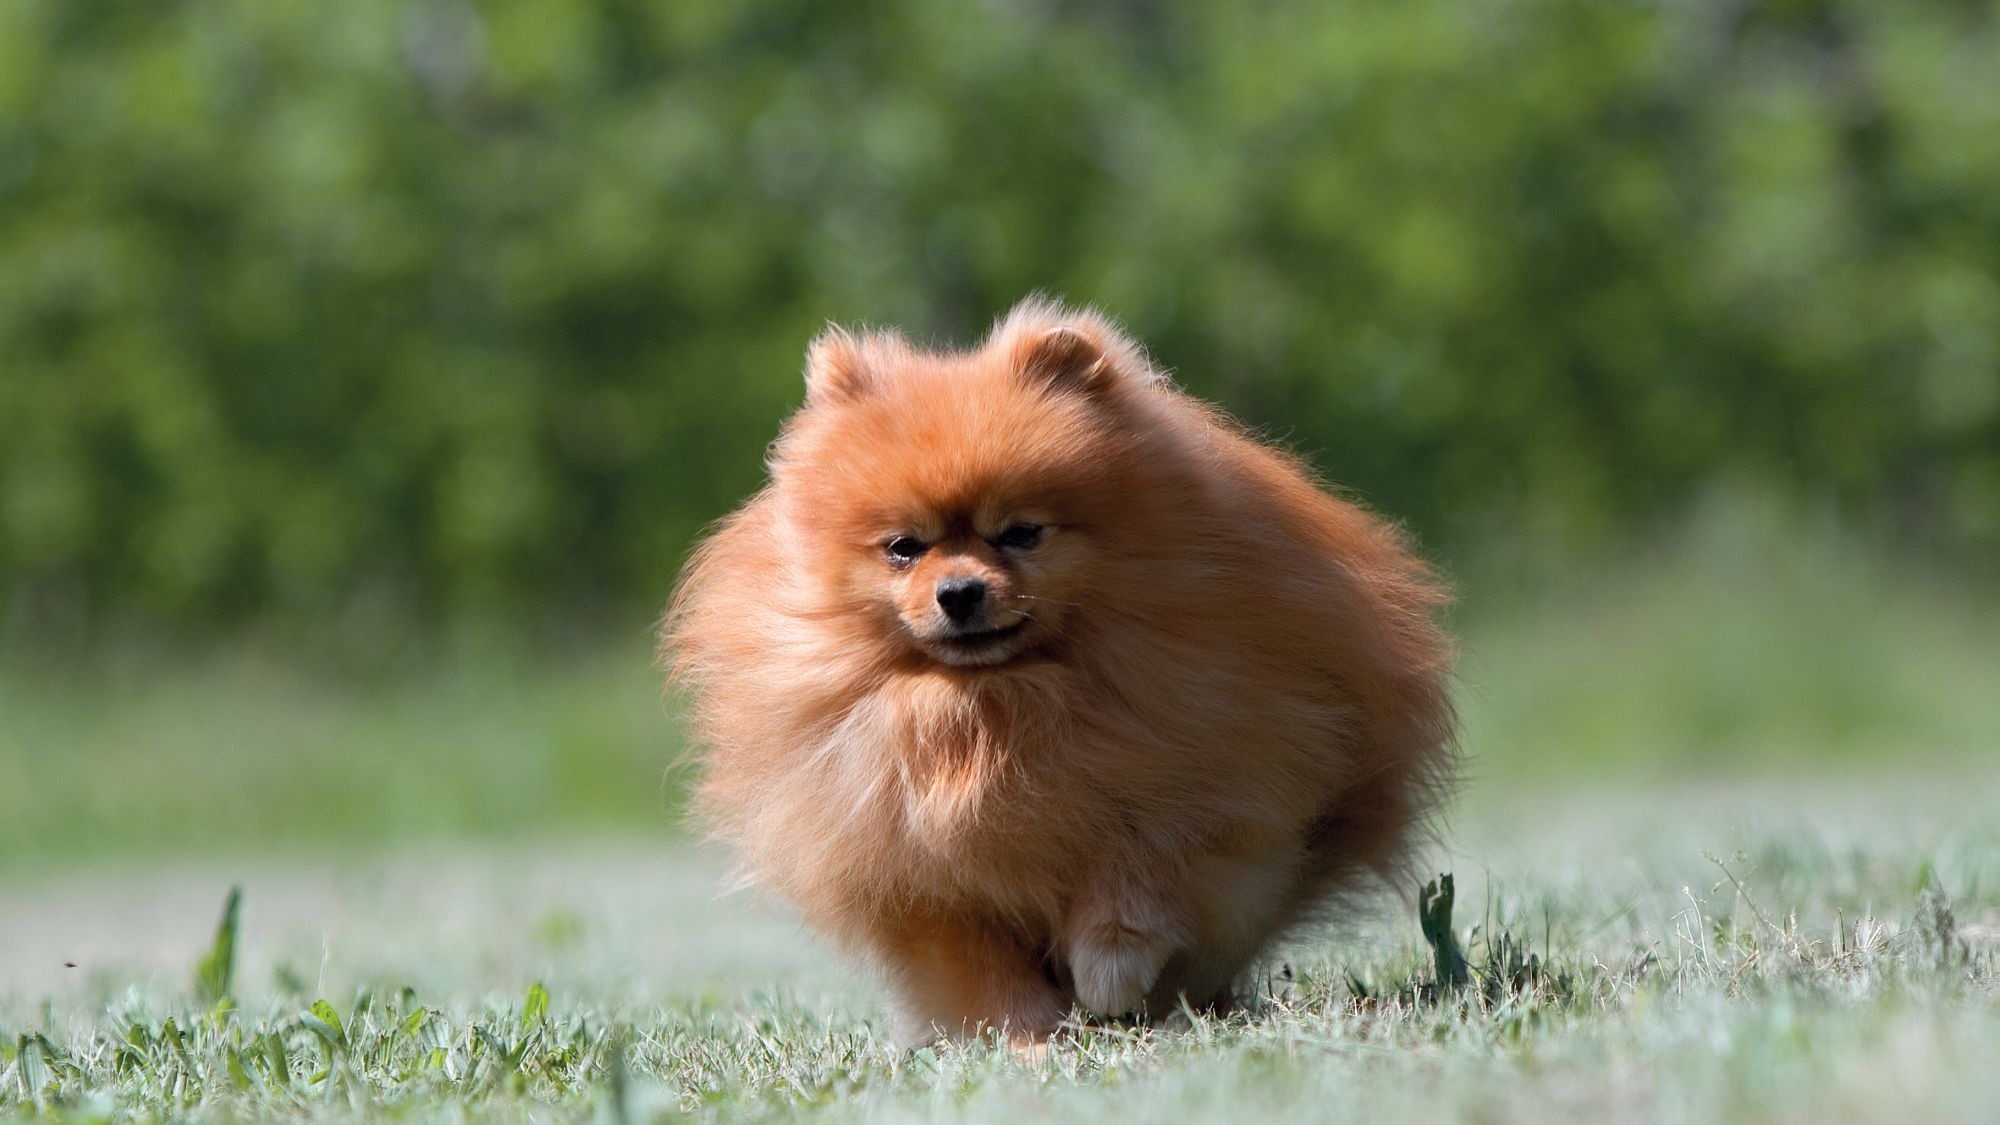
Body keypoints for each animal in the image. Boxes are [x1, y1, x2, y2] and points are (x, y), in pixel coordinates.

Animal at [668, 298, 1456, 1040]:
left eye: (1020, 533)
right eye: (904, 548)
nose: (960, 591)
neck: (997, 707)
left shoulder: (1211, 784)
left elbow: (1141, 874)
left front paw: (1109, 967)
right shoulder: (917, 874)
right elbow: (979, 965)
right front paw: (1028, 1038)